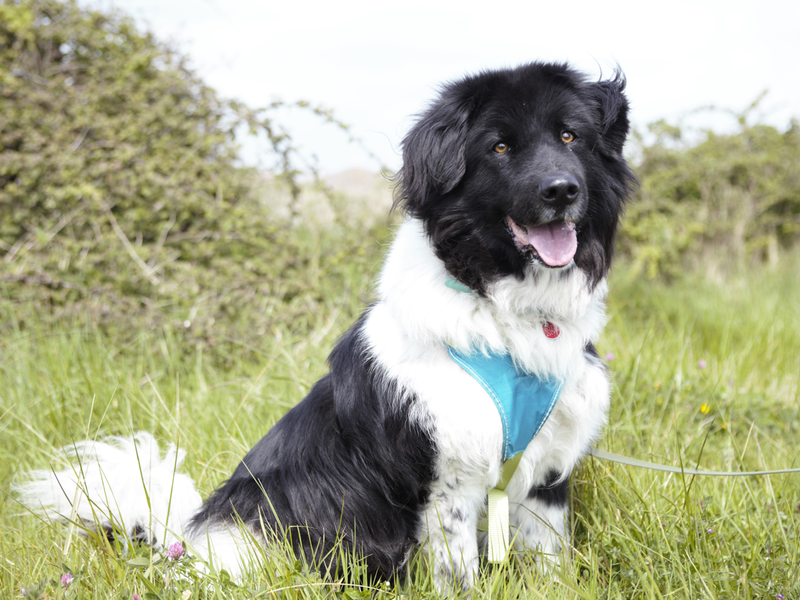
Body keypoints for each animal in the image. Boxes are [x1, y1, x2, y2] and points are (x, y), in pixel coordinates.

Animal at [15, 61, 636, 592]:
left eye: (570, 137)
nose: (561, 190)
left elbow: (549, 561)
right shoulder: (450, 477)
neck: (504, 307)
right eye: (500, 147)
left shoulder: (549, 469)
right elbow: (457, 571)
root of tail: (180, 543)